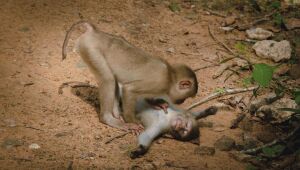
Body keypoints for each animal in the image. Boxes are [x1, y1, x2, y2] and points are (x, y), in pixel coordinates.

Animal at [62, 20, 198, 131]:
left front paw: (155, 103)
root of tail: (95, 32)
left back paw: (116, 114)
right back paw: (109, 119)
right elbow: (129, 90)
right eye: (186, 97)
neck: (170, 76)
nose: (181, 101)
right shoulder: (159, 82)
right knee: (108, 79)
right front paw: (131, 121)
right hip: (90, 49)